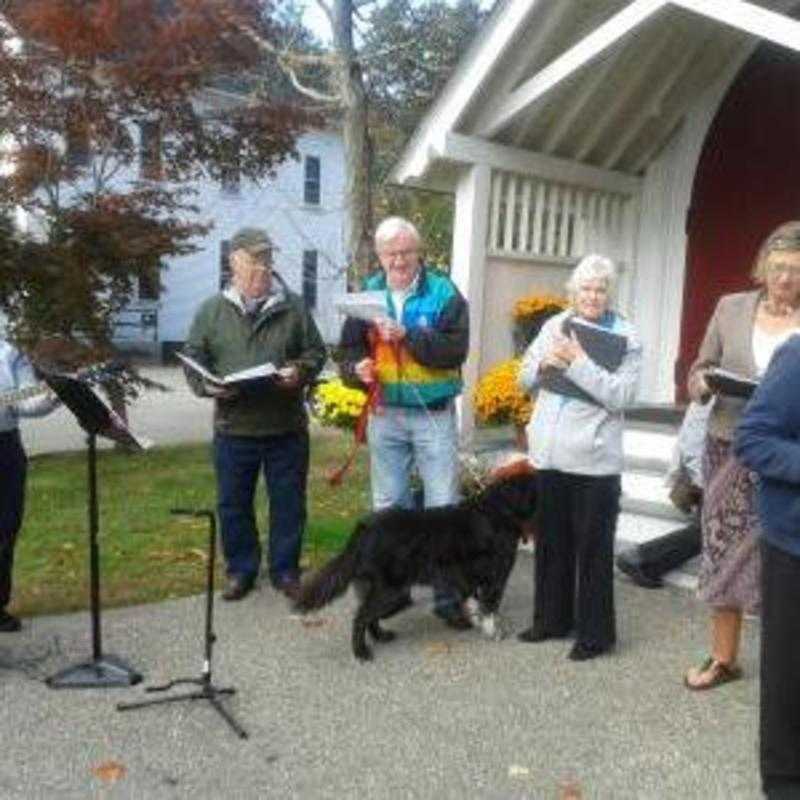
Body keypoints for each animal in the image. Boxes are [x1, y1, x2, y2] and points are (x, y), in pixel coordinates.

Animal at [294, 466, 536, 660]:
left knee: (368, 616)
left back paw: (381, 637)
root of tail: (365, 527)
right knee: (360, 617)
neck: (498, 511)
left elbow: (480, 606)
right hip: (391, 592)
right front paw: (496, 632)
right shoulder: (494, 578)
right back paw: (361, 652)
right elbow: (491, 609)